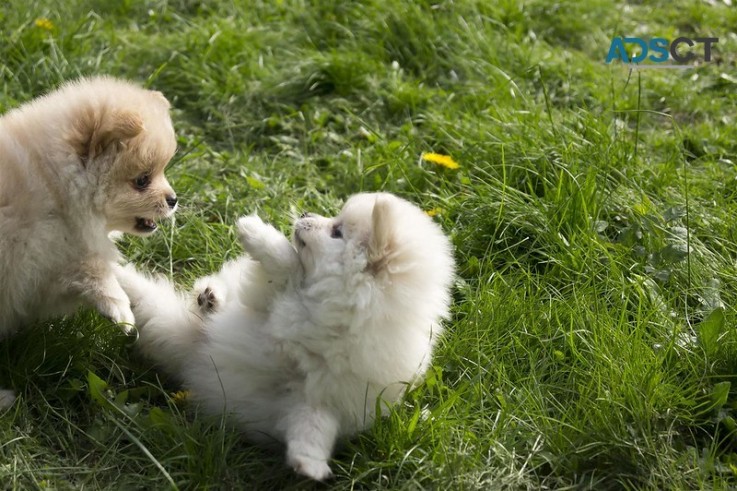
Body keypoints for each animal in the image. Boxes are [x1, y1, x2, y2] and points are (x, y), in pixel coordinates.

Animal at [0, 76, 178, 408]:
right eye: (142, 180)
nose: (173, 199)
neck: (55, 186)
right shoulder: (47, 252)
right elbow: (95, 272)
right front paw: (123, 314)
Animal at [116, 192, 454, 480]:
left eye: (337, 232)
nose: (305, 213)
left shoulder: (321, 397)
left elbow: (314, 424)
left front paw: (310, 463)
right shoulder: (265, 301)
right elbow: (287, 265)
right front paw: (253, 230)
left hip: (163, 324)